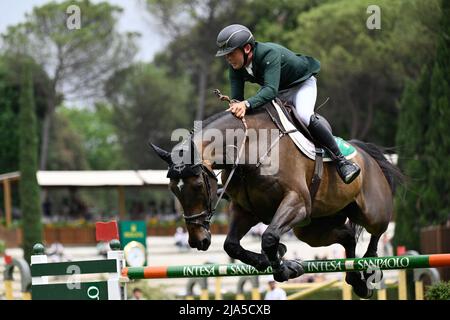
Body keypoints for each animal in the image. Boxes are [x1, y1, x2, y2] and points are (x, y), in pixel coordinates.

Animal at [150, 104, 400, 298]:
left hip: (370, 211)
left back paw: (369, 269)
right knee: (347, 236)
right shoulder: (245, 210)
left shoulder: (297, 203)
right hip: (313, 229)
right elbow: (232, 245)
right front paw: (275, 260)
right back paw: (356, 280)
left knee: (377, 230)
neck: (250, 150)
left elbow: (269, 237)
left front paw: (285, 267)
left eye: (198, 186)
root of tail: (366, 153)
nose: (197, 240)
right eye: (173, 190)